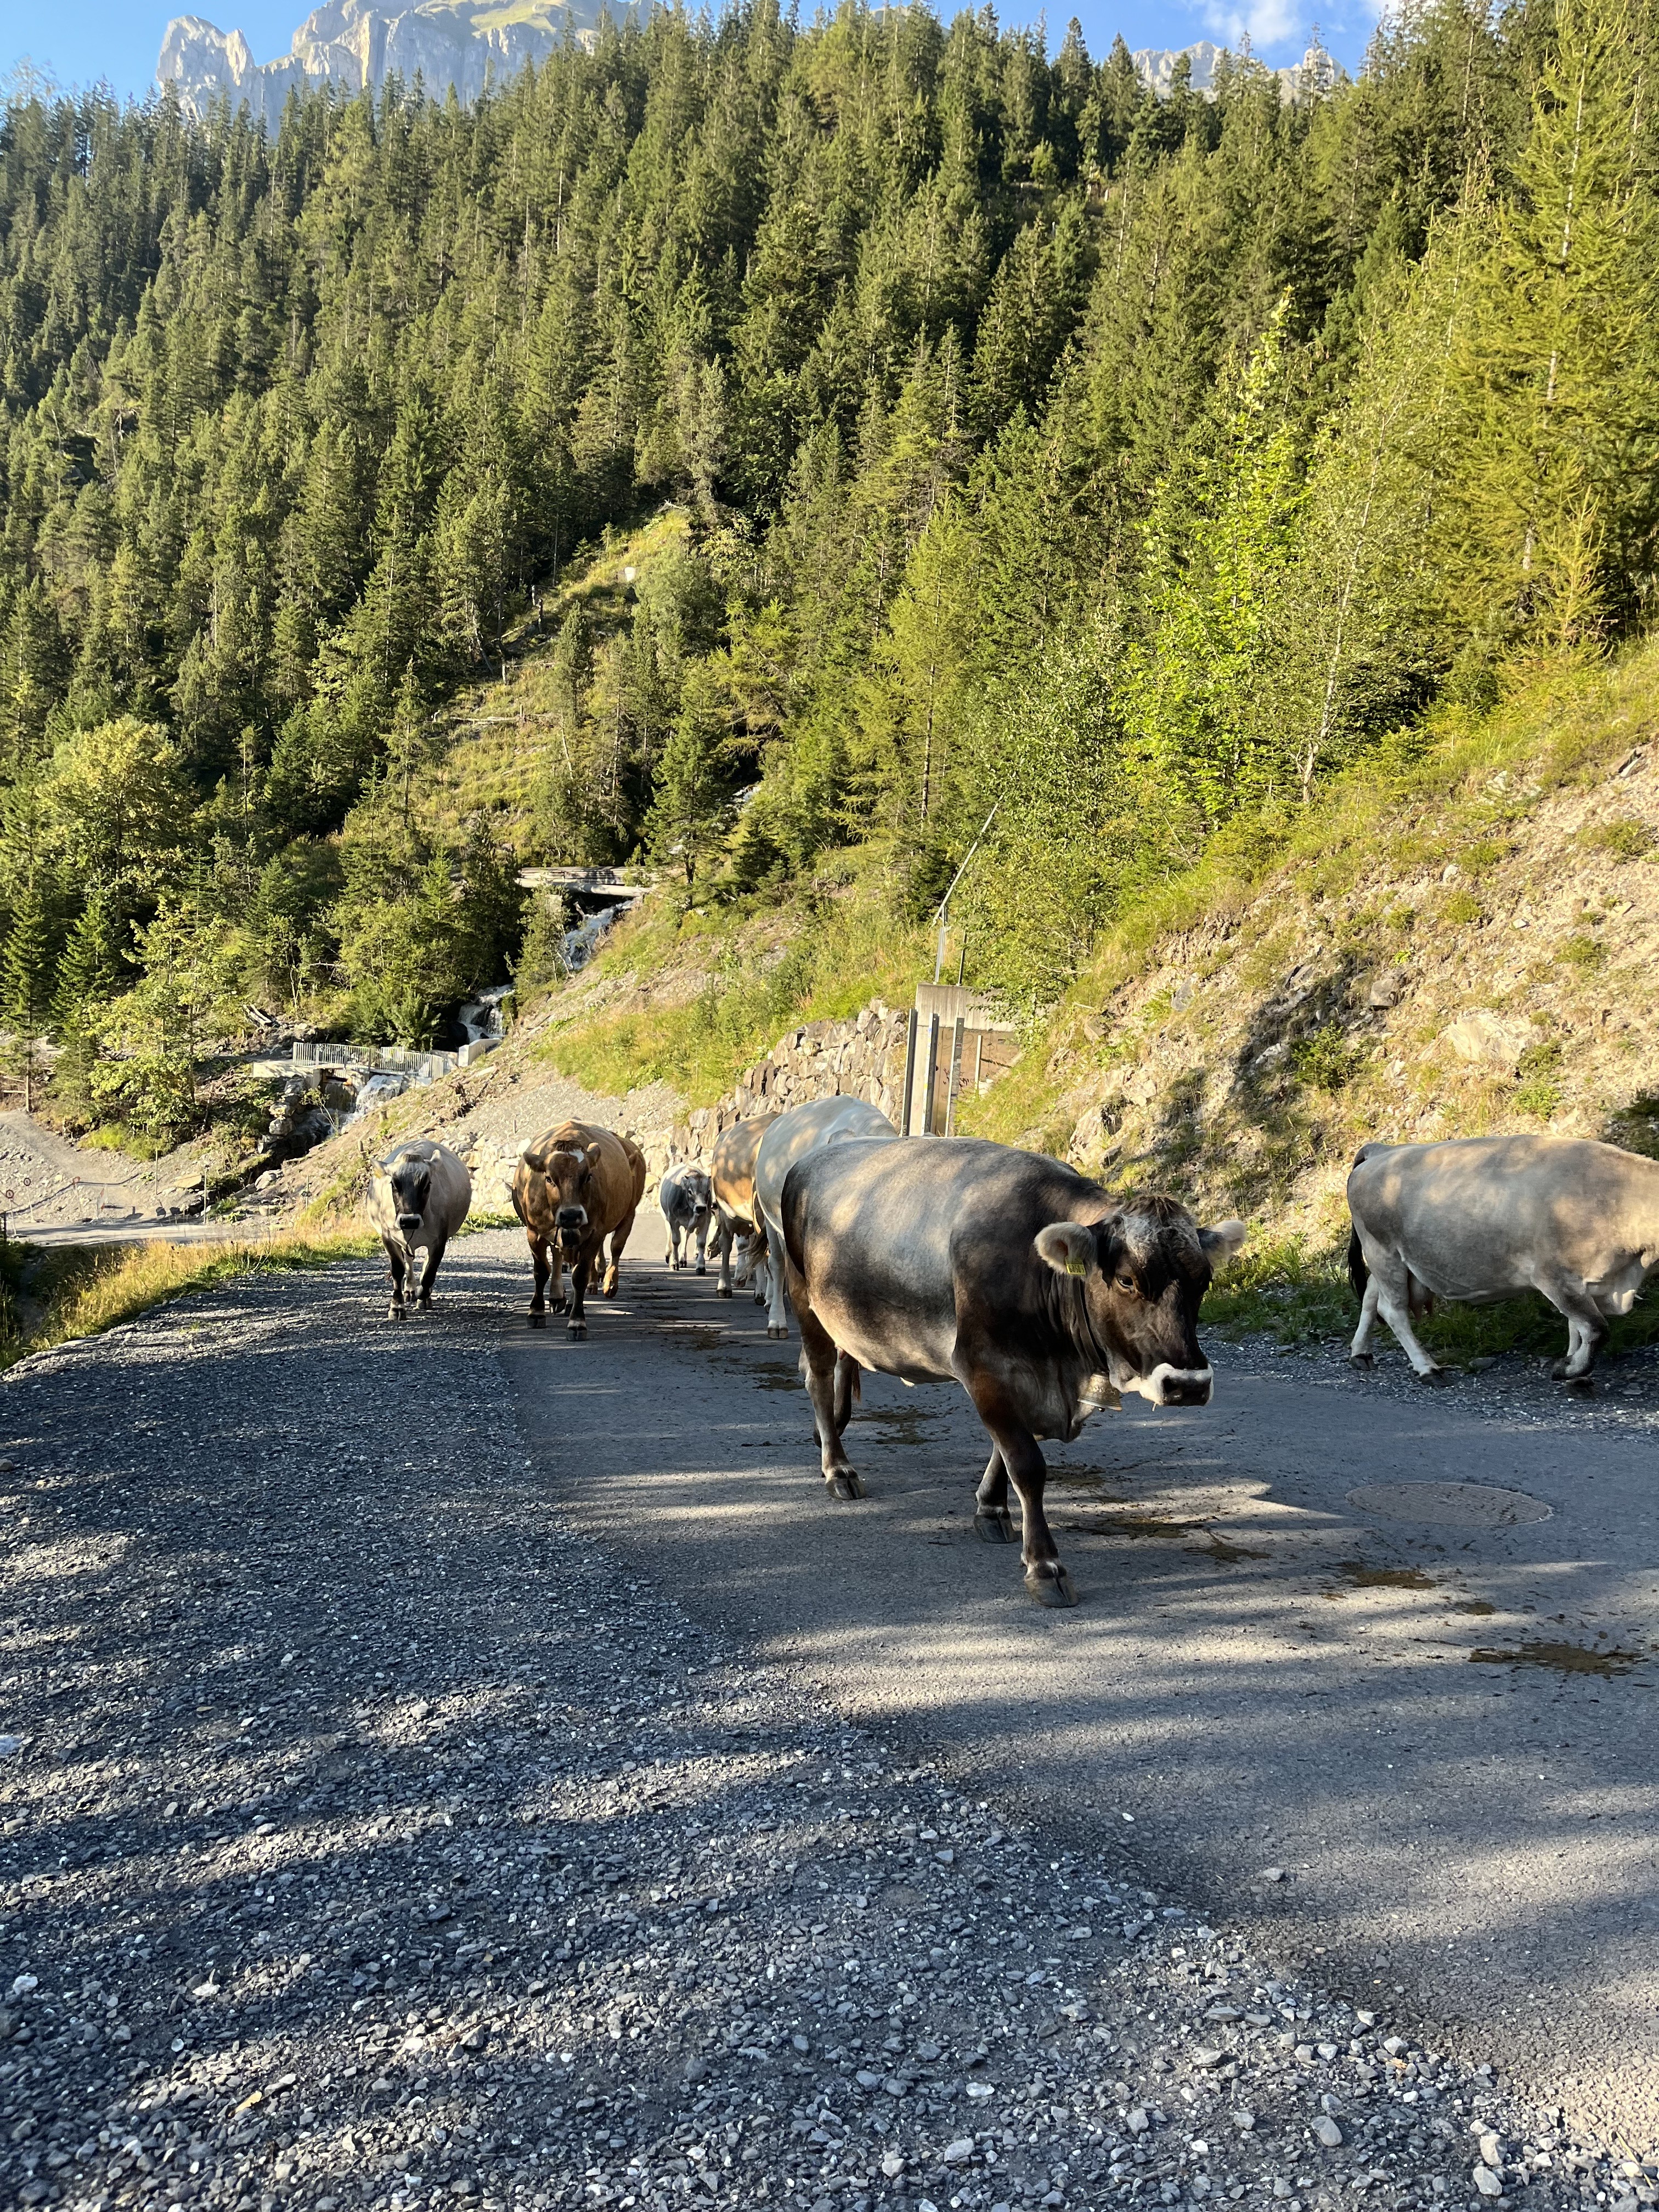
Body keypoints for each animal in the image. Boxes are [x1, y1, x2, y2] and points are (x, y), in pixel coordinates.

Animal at [363, 1141, 469, 1309]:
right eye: (394, 1184)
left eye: (427, 1184)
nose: (409, 1221)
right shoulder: (388, 1237)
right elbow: (398, 1269)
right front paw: (397, 1305)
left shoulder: (440, 1240)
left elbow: (429, 1272)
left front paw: (423, 1294)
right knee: (409, 1261)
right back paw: (410, 1290)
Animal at [513, 1124, 650, 1327]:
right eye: (549, 1179)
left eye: (588, 1177)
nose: (571, 1215)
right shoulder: (534, 1232)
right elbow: (541, 1271)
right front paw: (536, 1311)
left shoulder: (595, 1233)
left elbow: (581, 1275)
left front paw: (577, 1319)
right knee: (558, 1256)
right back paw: (558, 1297)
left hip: (623, 1217)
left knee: (615, 1248)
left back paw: (606, 1285)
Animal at [663, 1159, 716, 1283]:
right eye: (690, 1191)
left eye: (708, 1191)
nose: (701, 1208)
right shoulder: (674, 1221)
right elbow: (676, 1241)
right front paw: (674, 1263)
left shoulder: (705, 1220)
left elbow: (701, 1243)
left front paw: (701, 1267)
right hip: (666, 1218)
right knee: (670, 1235)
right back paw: (669, 1255)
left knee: (685, 1237)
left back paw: (683, 1259)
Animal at [787, 1141, 1238, 1610]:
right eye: (1128, 1280)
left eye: (1204, 1282)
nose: (1188, 1385)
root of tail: (813, 1158)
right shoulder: (982, 1367)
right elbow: (1026, 1464)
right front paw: (1045, 1565)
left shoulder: (1030, 1381)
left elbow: (1005, 1451)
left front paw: (991, 1509)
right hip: (804, 1299)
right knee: (818, 1378)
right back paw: (838, 1469)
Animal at [1345, 1141, 1659, 1380]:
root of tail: (1383, 1149)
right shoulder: (1555, 1277)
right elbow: (1595, 1329)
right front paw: (1570, 1370)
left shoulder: (1584, 1282)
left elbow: (1577, 1327)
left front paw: (1572, 1364)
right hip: (1383, 1251)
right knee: (1393, 1310)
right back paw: (1428, 1369)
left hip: (1393, 1259)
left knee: (1371, 1294)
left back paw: (1361, 1352)